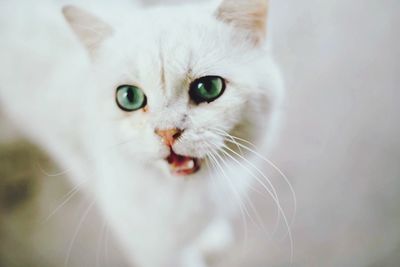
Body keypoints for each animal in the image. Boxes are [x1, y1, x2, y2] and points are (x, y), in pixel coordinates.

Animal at [0, 1, 288, 266]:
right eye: (129, 97)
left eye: (208, 87)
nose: (167, 132)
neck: (187, 192)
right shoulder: (151, 244)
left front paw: (208, 237)